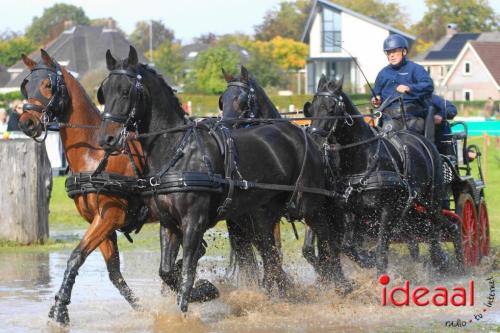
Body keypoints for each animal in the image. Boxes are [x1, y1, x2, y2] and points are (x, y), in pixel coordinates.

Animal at [18, 50, 146, 326]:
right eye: (26, 86)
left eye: (48, 85)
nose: (26, 123)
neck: (95, 155)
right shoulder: (100, 222)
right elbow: (114, 273)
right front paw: (147, 309)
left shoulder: (110, 216)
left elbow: (76, 257)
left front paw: (59, 311)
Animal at [97, 47, 352, 312]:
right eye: (104, 91)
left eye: (126, 91)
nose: (106, 138)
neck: (178, 150)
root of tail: (305, 136)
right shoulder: (168, 223)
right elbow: (166, 271)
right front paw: (205, 290)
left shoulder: (194, 221)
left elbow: (187, 273)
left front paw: (186, 307)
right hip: (262, 217)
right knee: (271, 257)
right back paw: (286, 292)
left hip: (309, 205)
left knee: (326, 241)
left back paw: (340, 285)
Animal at [302, 76, 462, 274]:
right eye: (311, 109)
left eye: (332, 108)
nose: (314, 140)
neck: (364, 158)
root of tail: (425, 141)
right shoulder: (349, 209)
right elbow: (348, 246)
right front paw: (366, 259)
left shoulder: (387, 210)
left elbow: (381, 251)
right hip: (410, 210)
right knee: (421, 234)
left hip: (430, 201)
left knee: (444, 228)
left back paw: (453, 261)